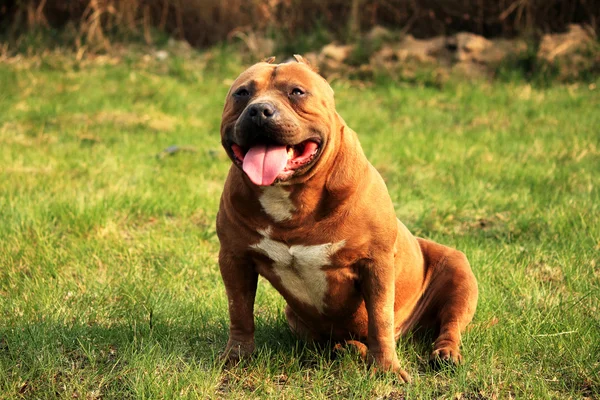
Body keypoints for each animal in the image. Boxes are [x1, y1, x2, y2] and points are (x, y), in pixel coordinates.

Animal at [216, 55, 478, 382]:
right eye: (242, 94)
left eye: (297, 92)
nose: (259, 110)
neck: (292, 197)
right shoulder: (233, 259)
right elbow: (239, 311)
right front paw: (236, 357)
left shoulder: (376, 264)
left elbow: (380, 319)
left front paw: (387, 369)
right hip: (295, 316)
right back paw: (349, 349)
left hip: (460, 276)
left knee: (450, 324)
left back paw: (445, 354)